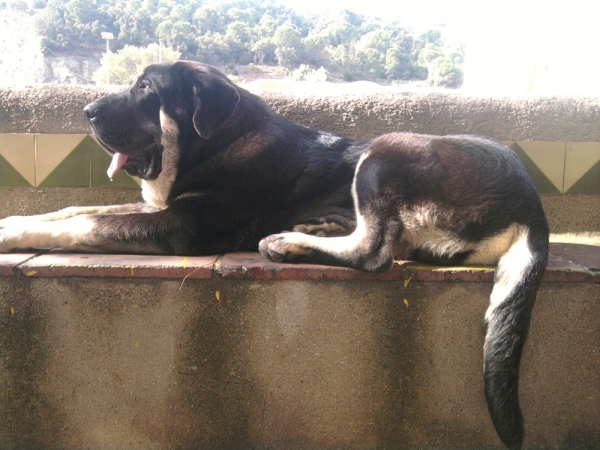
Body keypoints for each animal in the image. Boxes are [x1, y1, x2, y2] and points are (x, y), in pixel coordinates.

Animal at [0, 60, 548, 450]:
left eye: (145, 89)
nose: (88, 110)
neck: (222, 141)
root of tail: (531, 203)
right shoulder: (157, 206)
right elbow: (76, 207)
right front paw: (12, 221)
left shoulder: (178, 225)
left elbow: (84, 223)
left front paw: (13, 233)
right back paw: (317, 226)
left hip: (386, 151)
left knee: (374, 251)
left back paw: (289, 241)